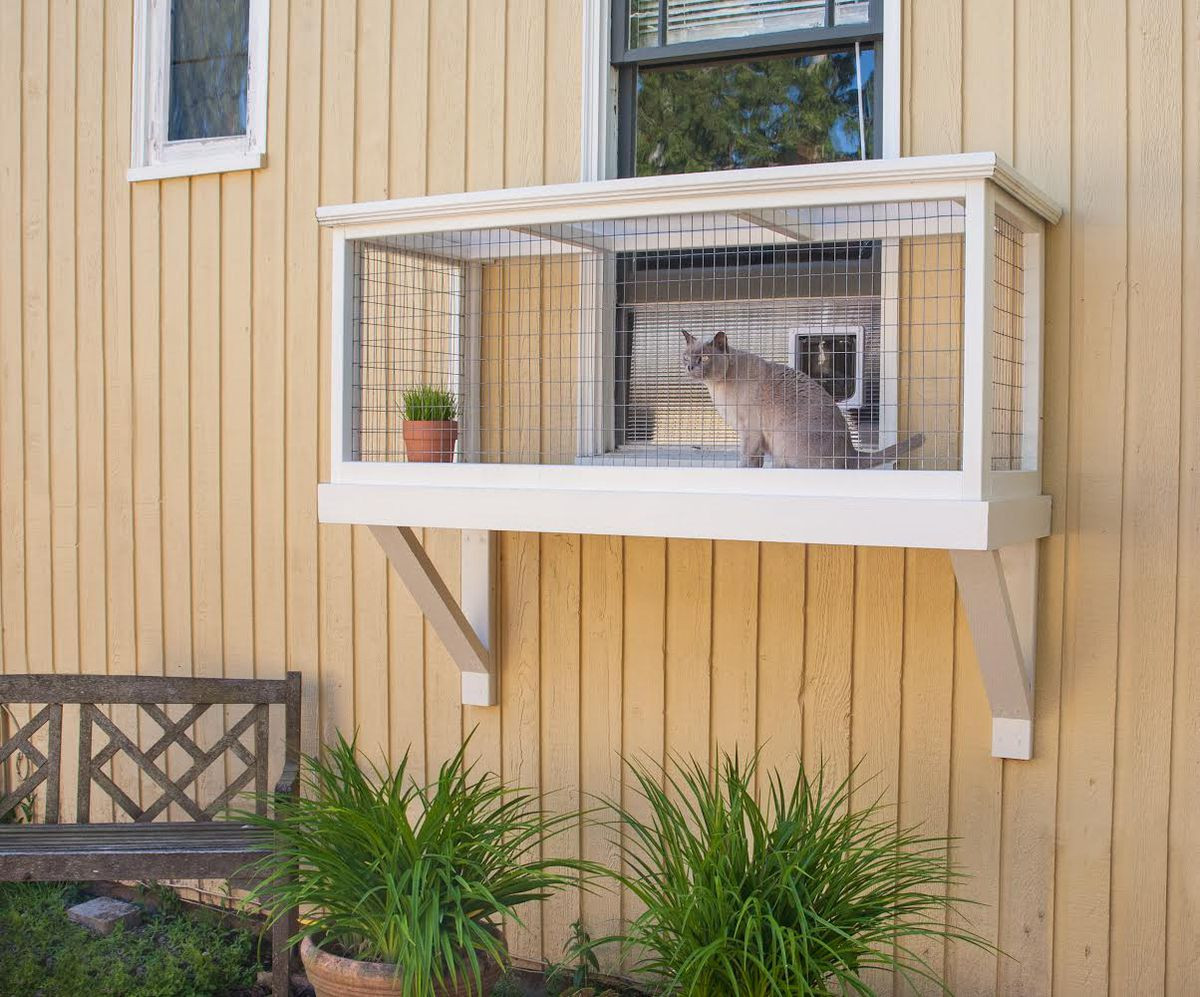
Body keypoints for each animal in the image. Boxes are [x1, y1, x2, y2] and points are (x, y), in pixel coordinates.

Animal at [681, 326, 921, 467]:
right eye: (686, 357)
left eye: (704, 358)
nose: (690, 367)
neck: (716, 388)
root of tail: (851, 453)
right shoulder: (751, 435)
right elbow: (755, 462)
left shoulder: (750, 431)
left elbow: (747, 460)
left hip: (784, 445)